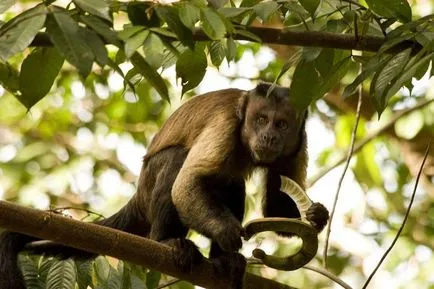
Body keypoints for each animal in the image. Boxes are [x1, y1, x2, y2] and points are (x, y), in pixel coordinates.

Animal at [0, 82, 328, 288]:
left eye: (281, 124)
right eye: (260, 119)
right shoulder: (225, 125)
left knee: (232, 185)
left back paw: (224, 260)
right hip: (149, 183)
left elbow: (276, 205)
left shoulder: (298, 144)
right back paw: (167, 241)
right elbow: (186, 185)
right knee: (177, 161)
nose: (268, 136)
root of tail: (137, 195)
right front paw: (226, 231)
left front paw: (316, 216)